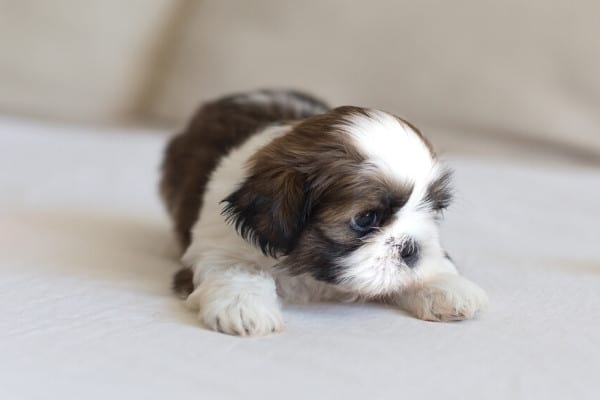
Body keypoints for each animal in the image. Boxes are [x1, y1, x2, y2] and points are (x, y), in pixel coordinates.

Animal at [159, 90, 488, 334]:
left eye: (433, 209)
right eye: (365, 219)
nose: (412, 249)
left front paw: (444, 285)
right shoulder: (216, 246)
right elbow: (236, 270)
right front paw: (243, 307)